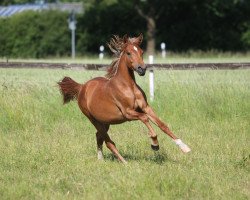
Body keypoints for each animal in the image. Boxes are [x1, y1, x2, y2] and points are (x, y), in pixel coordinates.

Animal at [58, 34, 190, 162]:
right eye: (128, 53)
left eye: (141, 51)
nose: (142, 69)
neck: (128, 87)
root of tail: (82, 87)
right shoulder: (128, 113)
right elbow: (145, 118)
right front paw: (154, 144)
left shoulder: (145, 107)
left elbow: (162, 125)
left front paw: (184, 147)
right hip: (93, 119)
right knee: (109, 142)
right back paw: (124, 162)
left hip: (105, 121)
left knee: (98, 136)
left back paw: (101, 159)